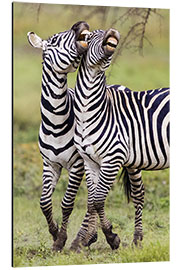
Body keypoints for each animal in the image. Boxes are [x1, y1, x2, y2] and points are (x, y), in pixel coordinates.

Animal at [26, 22, 98, 252]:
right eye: (55, 40)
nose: (81, 24)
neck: (55, 123)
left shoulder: (76, 165)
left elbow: (67, 203)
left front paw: (61, 239)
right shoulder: (50, 164)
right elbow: (44, 202)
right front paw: (54, 233)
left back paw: (90, 236)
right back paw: (92, 236)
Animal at [71, 28, 169, 250]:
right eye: (91, 36)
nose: (113, 31)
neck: (89, 112)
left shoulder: (112, 158)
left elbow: (98, 200)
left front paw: (111, 237)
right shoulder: (91, 161)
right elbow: (92, 201)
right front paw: (84, 239)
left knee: (137, 193)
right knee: (139, 193)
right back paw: (137, 238)